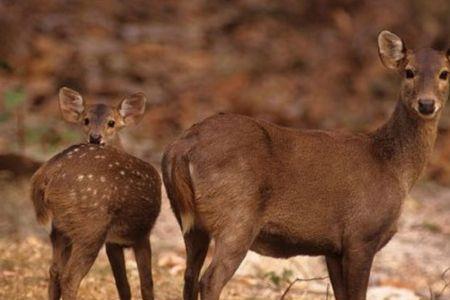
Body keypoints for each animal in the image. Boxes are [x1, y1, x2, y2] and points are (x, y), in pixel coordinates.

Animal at [29, 88, 161, 298]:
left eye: (112, 122)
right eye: (86, 120)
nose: (95, 138)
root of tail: (47, 171)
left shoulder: (113, 242)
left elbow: (123, 284)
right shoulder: (142, 234)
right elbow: (146, 283)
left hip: (60, 228)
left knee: (54, 270)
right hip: (90, 226)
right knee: (70, 277)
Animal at [161, 30, 446, 300]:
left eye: (444, 73)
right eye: (409, 71)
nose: (426, 104)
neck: (393, 165)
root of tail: (181, 147)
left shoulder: (333, 248)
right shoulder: (361, 235)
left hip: (190, 221)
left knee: (189, 275)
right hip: (236, 217)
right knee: (210, 279)